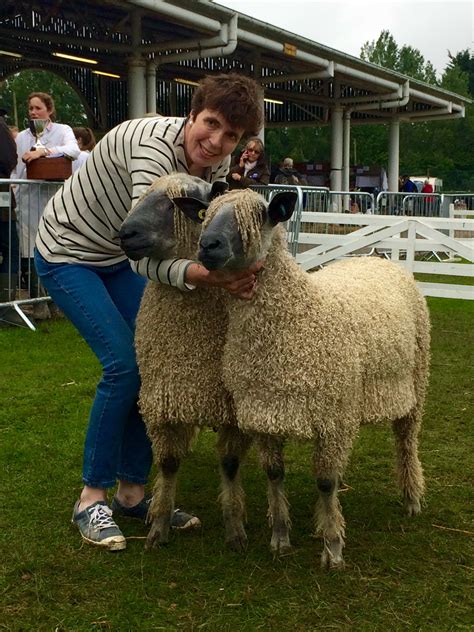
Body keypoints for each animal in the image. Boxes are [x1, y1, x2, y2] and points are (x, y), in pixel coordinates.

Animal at [176, 188, 432, 568]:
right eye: (206, 215)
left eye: (259, 217)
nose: (208, 245)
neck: (298, 313)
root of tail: (377, 259)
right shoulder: (265, 415)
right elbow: (275, 475)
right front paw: (280, 537)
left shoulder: (334, 419)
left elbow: (324, 482)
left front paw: (333, 547)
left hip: (416, 380)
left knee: (406, 440)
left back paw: (412, 499)